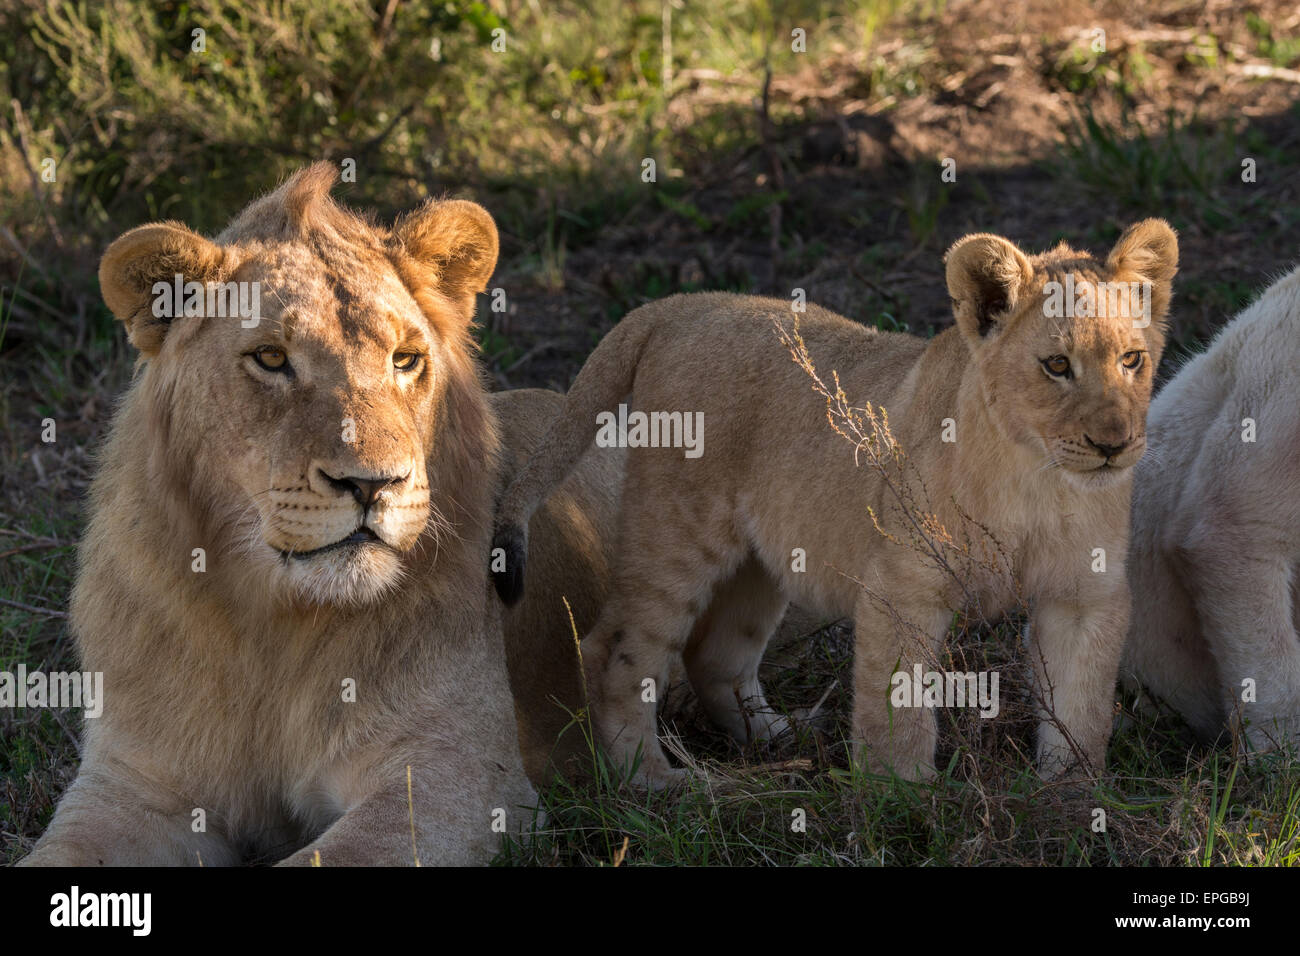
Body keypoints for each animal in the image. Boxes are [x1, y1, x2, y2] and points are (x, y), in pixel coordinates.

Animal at [20, 164, 618, 868]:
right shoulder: (132, 783)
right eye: (272, 359)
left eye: (405, 359)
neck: (271, 625)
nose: (372, 484)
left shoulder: (458, 772)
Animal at [488, 222, 1180, 785]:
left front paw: (1072, 795)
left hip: (759, 559)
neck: (1036, 477)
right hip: (676, 535)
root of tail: (679, 305)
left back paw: (776, 739)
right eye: (1057, 365)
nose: (1113, 445)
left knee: (715, 654)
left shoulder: (1085, 594)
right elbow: (897, 705)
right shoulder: (902, 588)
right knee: (615, 650)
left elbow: (1082, 706)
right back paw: (653, 782)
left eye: (1132, 359)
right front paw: (904, 799)